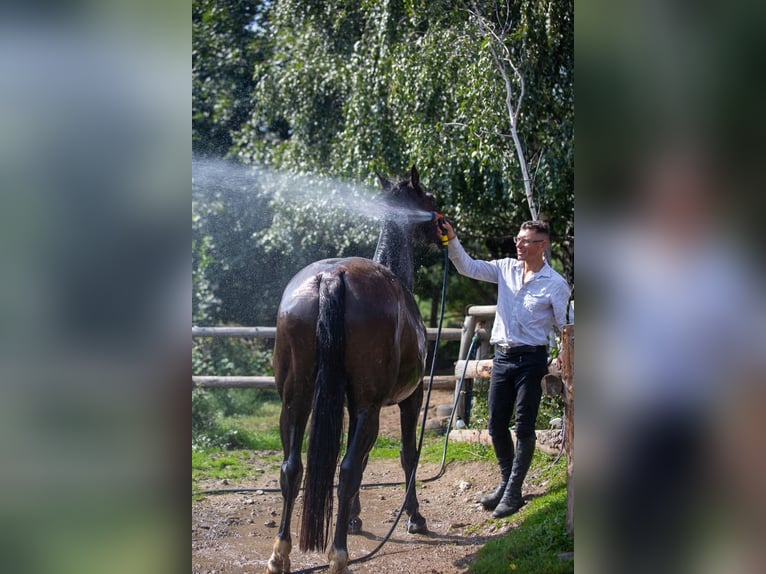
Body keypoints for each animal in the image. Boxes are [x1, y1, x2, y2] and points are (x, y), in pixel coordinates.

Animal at [265, 166, 442, 574]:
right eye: (429, 199)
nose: (442, 227)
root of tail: (334, 276)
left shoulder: (344, 403)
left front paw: (353, 519)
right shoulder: (409, 399)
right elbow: (405, 456)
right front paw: (414, 518)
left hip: (296, 401)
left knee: (292, 468)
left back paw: (281, 554)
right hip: (368, 408)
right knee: (346, 470)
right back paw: (338, 556)